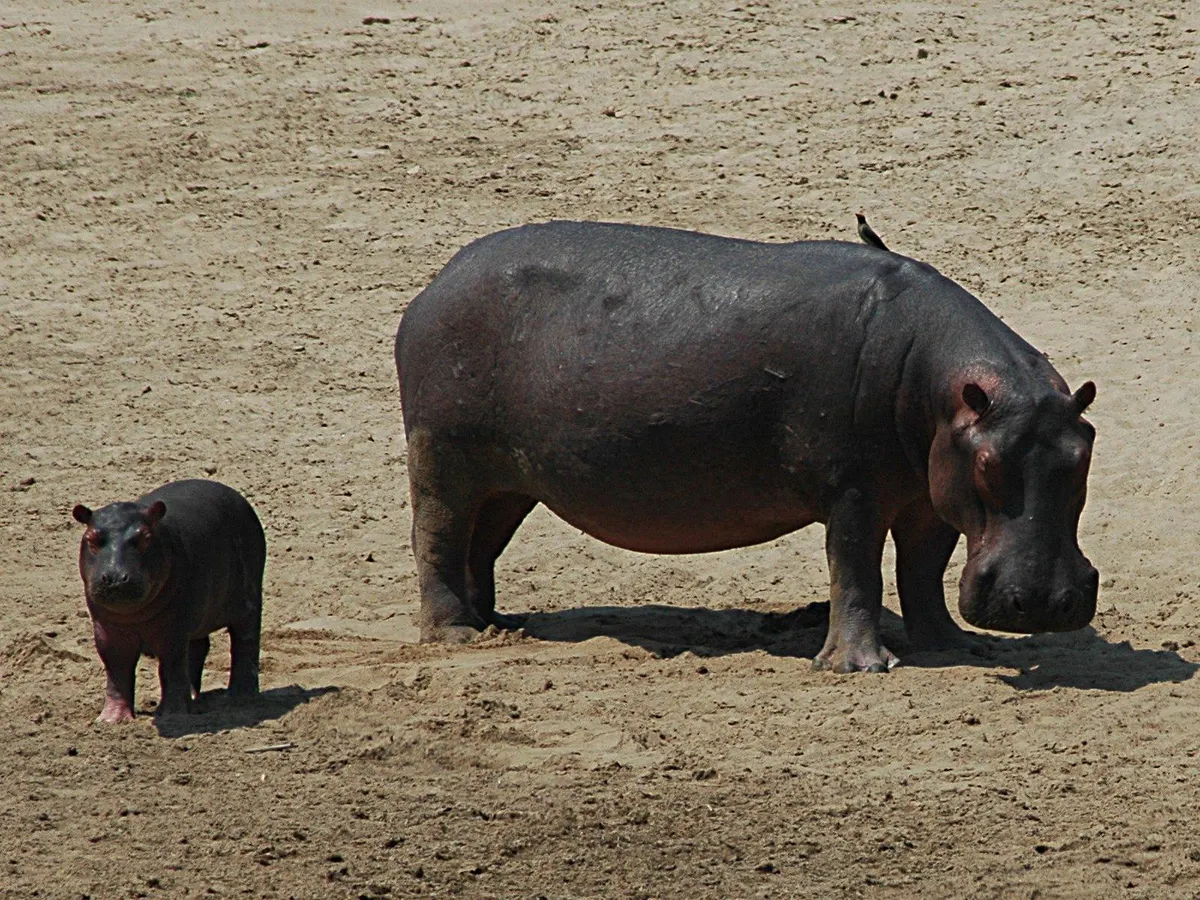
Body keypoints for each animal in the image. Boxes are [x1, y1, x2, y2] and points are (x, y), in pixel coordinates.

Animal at [72, 479, 266, 721]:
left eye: (145, 537)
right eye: (91, 538)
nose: (115, 577)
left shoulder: (173, 628)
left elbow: (171, 665)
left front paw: (172, 714)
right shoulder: (107, 629)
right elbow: (117, 669)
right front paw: (111, 719)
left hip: (248, 601)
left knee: (245, 642)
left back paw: (239, 698)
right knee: (198, 648)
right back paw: (193, 697)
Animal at [394, 221, 1099, 671]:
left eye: (1085, 451)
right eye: (988, 463)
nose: (1041, 604)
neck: (941, 384)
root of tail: (432, 285)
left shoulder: (928, 495)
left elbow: (922, 572)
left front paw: (952, 647)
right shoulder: (854, 489)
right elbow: (857, 569)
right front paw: (859, 667)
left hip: (510, 479)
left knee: (480, 543)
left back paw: (496, 627)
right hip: (444, 455)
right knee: (437, 535)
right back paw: (456, 638)